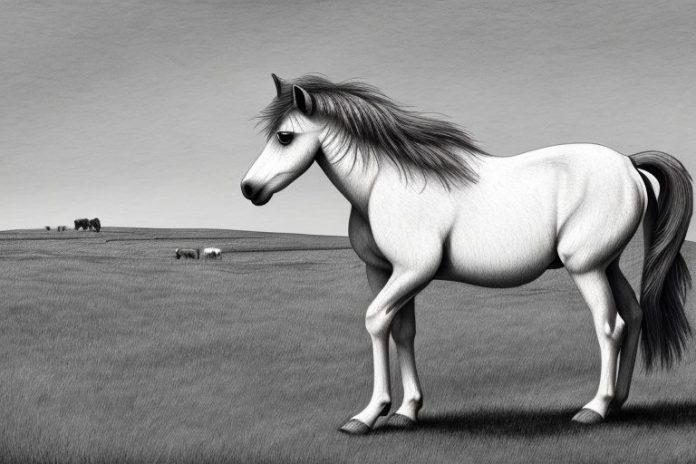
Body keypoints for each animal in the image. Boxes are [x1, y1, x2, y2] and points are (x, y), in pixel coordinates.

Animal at [241, 74, 693, 434]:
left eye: (284, 137)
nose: (249, 189)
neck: (384, 185)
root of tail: (628, 164)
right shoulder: (385, 272)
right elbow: (402, 331)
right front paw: (406, 411)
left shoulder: (411, 271)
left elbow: (375, 321)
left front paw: (368, 415)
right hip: (607, 265)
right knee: (634, 315)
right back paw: (618, 403)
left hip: (587, 268)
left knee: (610, 326)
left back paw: (594, 409)